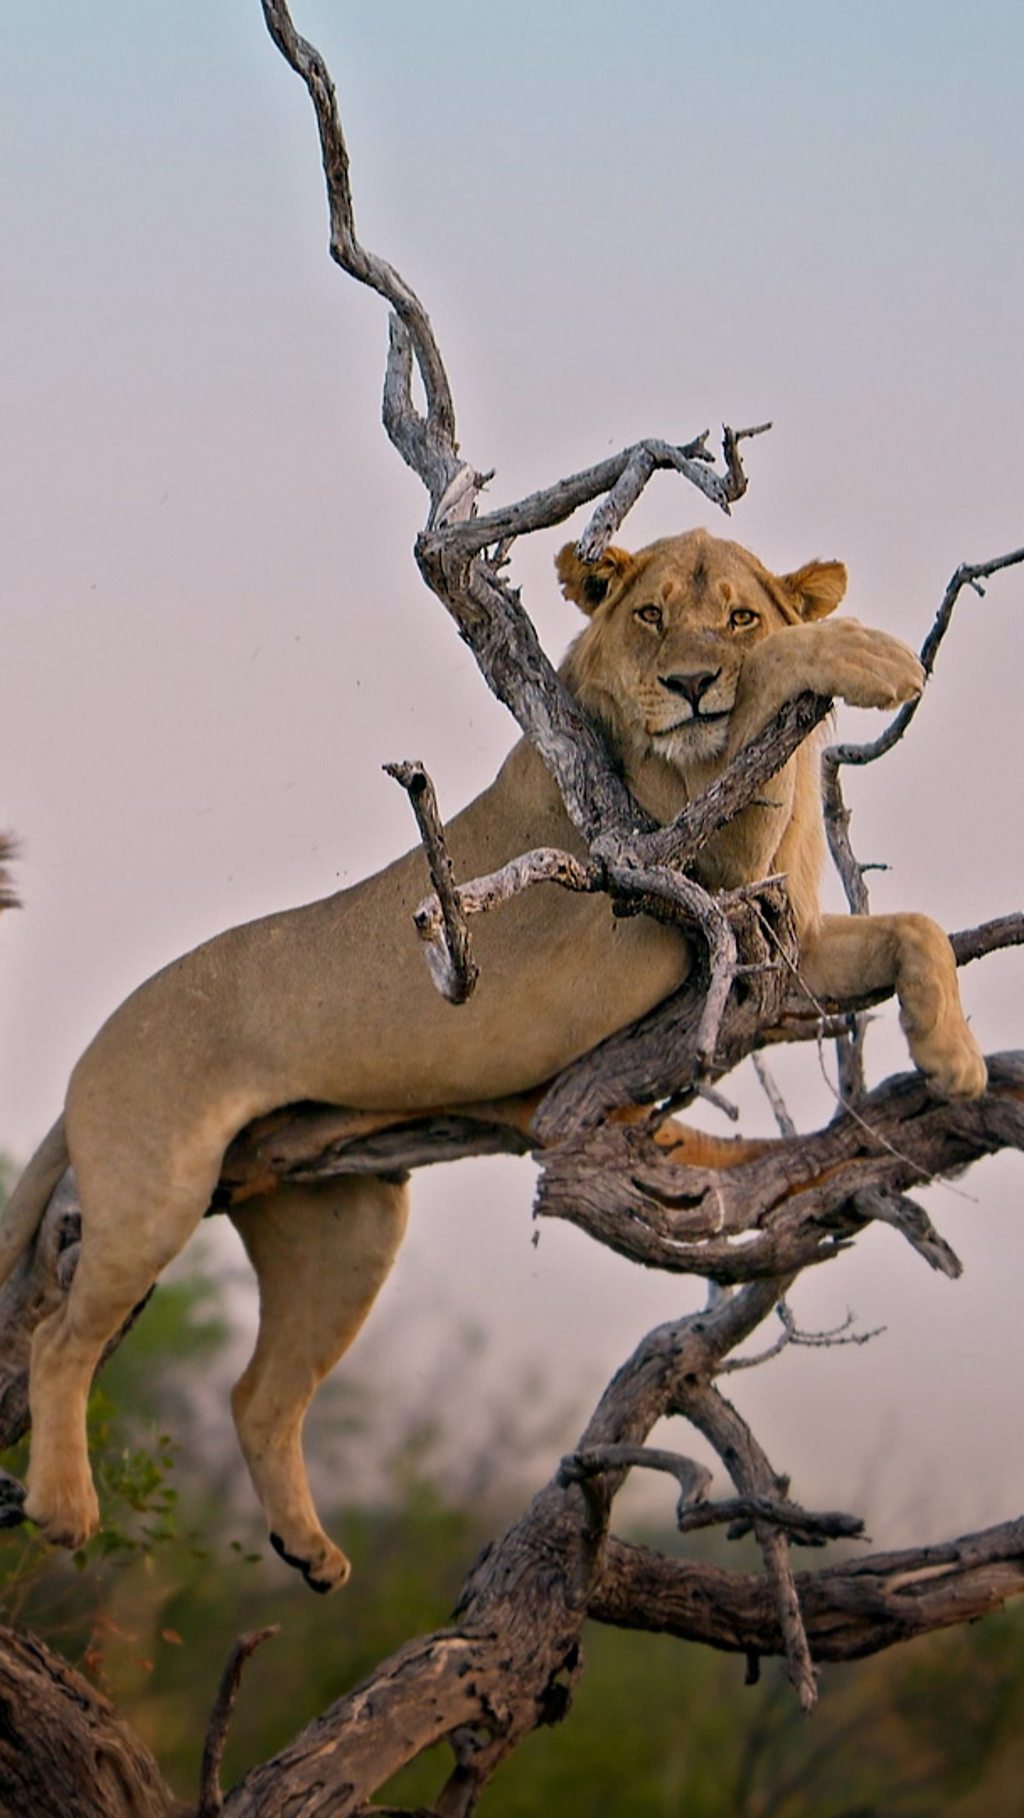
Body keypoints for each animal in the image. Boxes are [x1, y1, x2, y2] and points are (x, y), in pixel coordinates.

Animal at [0, 530, 982, 1592]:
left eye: (739, 613)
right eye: (651, 616)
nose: (687, 685)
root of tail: (92, 1049)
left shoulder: (785, 941)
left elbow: (917, 927)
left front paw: (954, 1062)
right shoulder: (675, 860)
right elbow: (762, 690)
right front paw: (877, 660)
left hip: (345, 1229)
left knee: (260, 1394)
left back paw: (312, 1554)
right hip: (157, 1186)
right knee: (60, 1338)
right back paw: (64, 1511)